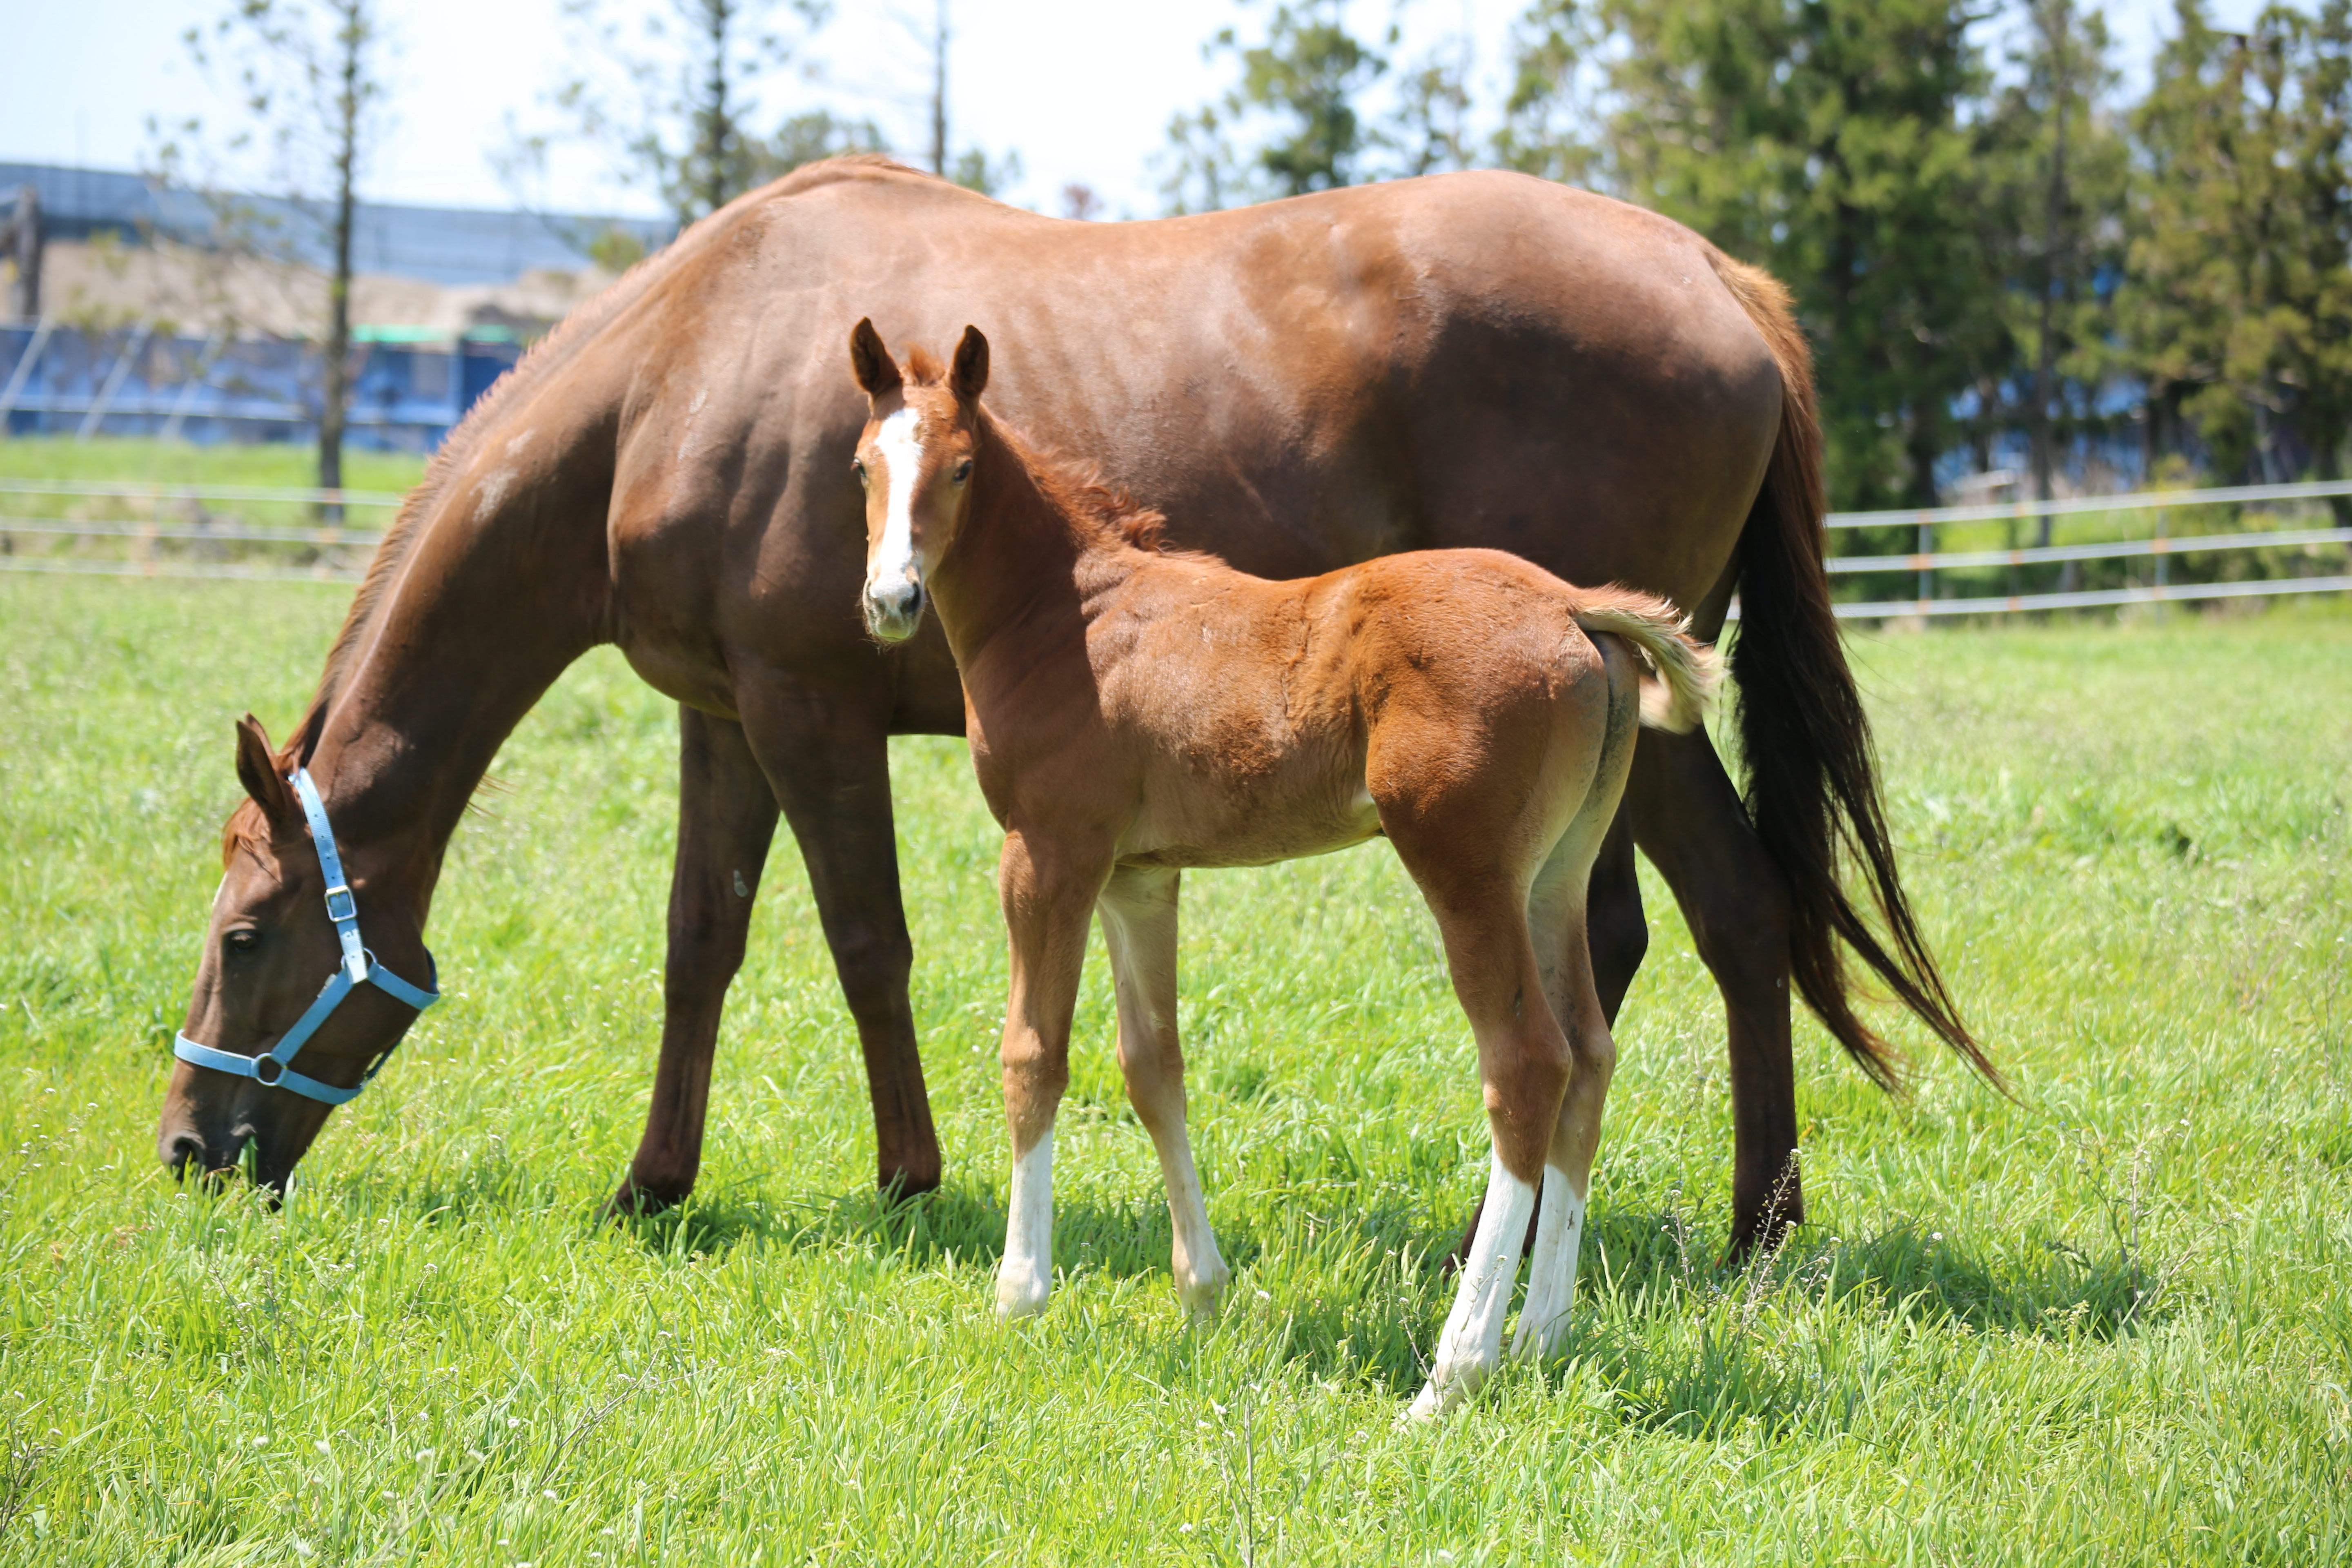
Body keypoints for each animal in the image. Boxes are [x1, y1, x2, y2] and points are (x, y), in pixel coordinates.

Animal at [856, 322, 1722, 1420]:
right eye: (863, 467)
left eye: (961, 467)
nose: (890, 600)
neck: (1068, 617)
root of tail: (1572, 607)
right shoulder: (1139, 876)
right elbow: (1153, 1066)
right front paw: (1202, 1290)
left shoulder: (1047, 855)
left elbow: (1032, 1054)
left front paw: (1019, 1295)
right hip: (1553, 877)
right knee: (1591, 1054)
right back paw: (1541, 1337)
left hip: (1466, 872)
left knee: (1528, 1065)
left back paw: (1452, 1372)